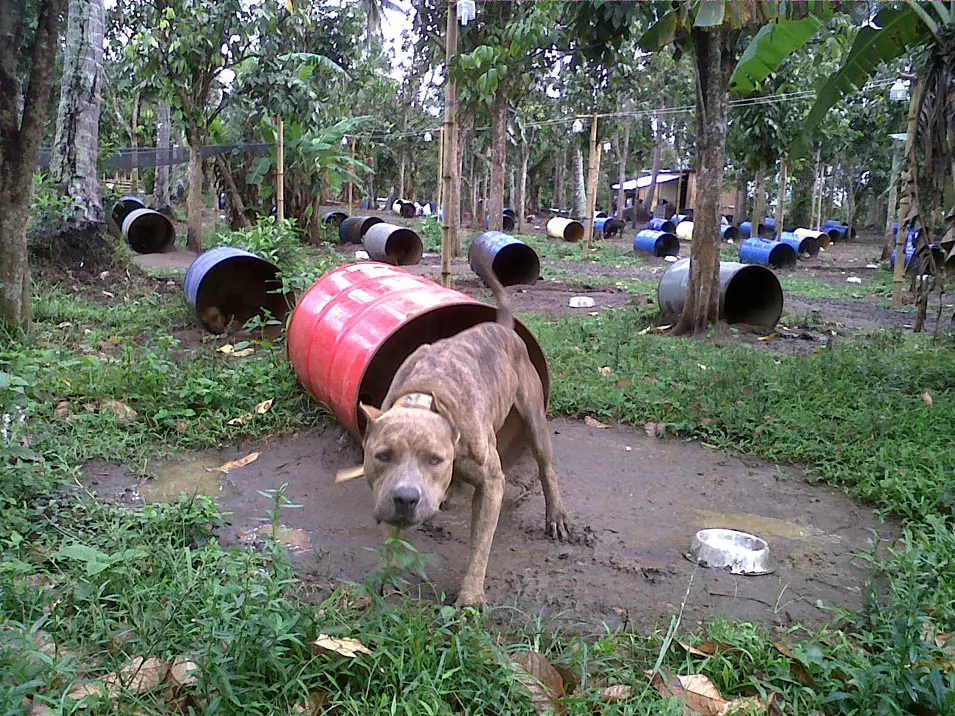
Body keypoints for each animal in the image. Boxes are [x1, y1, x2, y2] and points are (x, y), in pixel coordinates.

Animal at [358, 272, 568, 608]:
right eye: (382, 455)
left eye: (435, 459)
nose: (406, 498)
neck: (424, 398)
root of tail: (503, 326)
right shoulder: (387, 491)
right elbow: (392, 537)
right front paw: (382, 576)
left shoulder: (492, 483)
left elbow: (480, 544)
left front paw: (470, 596)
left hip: (535, 421)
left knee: (546, 467)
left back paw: (556, 514)